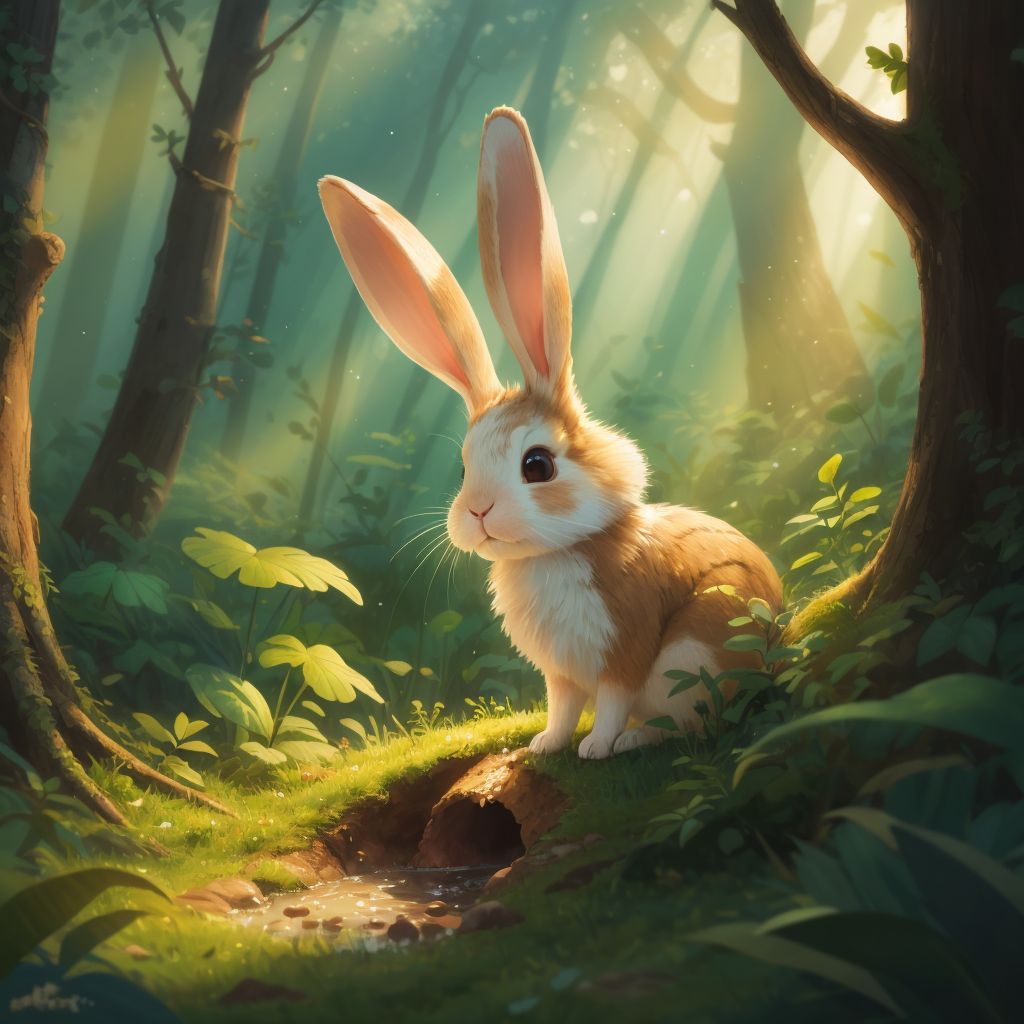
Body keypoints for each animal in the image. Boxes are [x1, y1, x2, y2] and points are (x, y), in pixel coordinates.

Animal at [318, 106, 783, 759]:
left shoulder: (624, 647)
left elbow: (610, 703)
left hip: (700, 650)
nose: (478, 513)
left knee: (698, 719)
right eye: (464, 466)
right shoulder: (561, 674)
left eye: (537, 464)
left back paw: (635, 740)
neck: (551, 555)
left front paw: (594, 748)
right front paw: (545, 746)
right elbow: (562, 706)